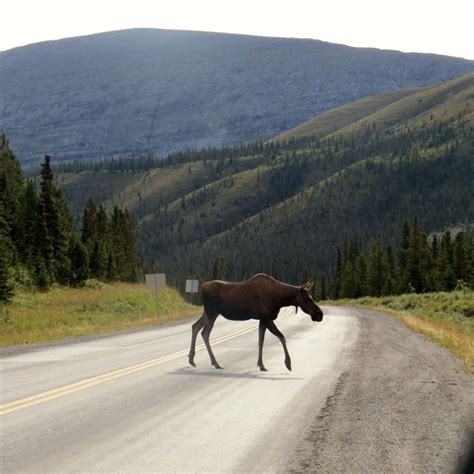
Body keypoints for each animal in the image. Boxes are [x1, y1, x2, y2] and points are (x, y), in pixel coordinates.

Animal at [187, 274, 324, 370]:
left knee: (195, 326)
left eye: (311, 297)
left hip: (208, 313)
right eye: (307, 299)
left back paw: (192, 359)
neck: (281, 299)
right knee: (205, 333)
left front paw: (261, 365)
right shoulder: (267, 318)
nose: (320, 314)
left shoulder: (262, 320)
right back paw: (215, 363)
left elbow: (260, 340)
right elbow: (282, 337)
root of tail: (202, 287)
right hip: (212, 313)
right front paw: (288, 363)